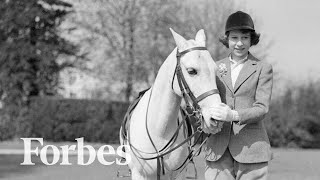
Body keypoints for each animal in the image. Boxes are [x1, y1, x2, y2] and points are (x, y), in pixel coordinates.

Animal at [120, 28, 222, 179]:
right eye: (191, 71)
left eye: (215, 71)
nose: (215, 118)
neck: (159, 130)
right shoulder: (139, 174)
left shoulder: (177, 174)